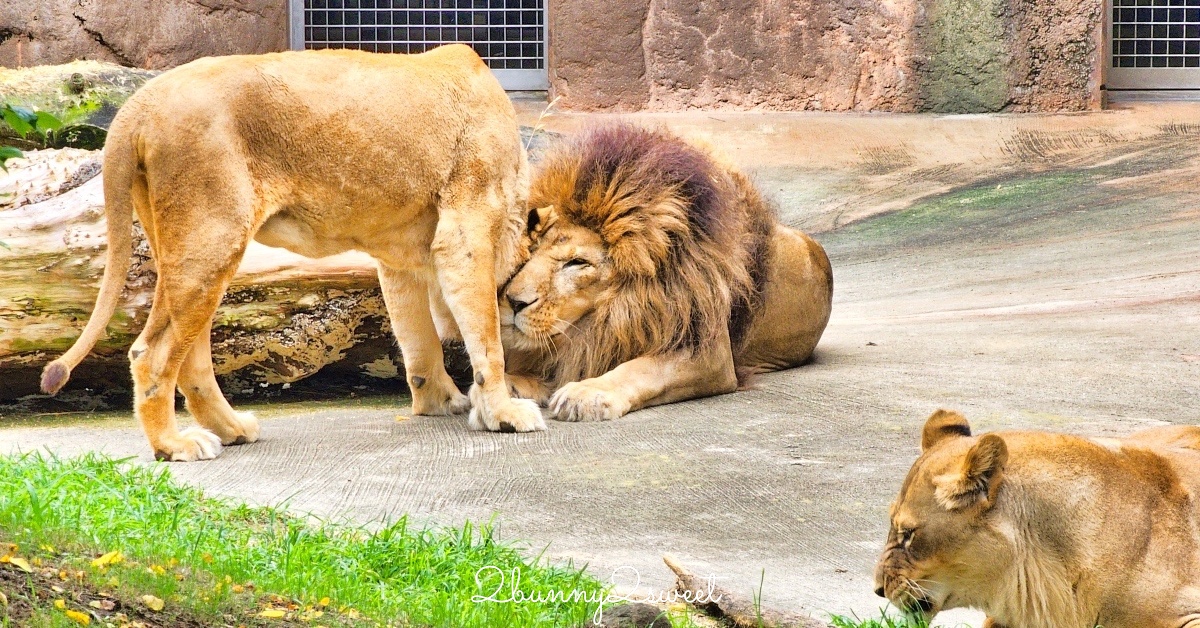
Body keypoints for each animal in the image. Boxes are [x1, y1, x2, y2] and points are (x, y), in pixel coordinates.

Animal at [37, 42, 544, 456]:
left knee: (191, 355)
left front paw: (441, 400)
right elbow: (487, 338)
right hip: (211, 235)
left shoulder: (400, 255)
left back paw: (232, 429)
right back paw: (174, 445)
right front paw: (503, 413)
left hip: (185, 245)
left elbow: (418, 336)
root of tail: (139, 102)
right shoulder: (466, 230)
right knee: (153, 353)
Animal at [499, 124, 835, 420]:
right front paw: (509, 384)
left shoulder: (708, 352)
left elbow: (642, 368)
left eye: (577, 262)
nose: (512, 302)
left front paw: (588, 393)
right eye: (531, 251)